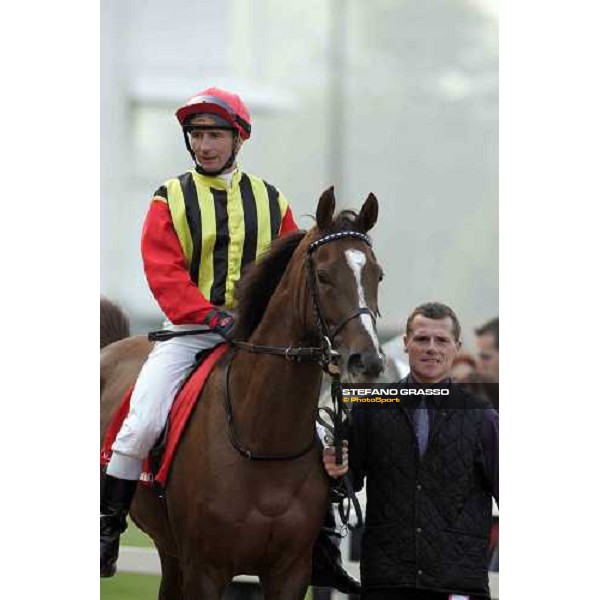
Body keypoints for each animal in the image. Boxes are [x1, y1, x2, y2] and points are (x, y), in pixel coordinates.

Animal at [99, 185, 384, 596]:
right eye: (324, 275)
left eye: (378, 274)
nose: (367, 360)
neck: (263, 440)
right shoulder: (205, 570)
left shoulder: (290, 572)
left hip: (170, 553)